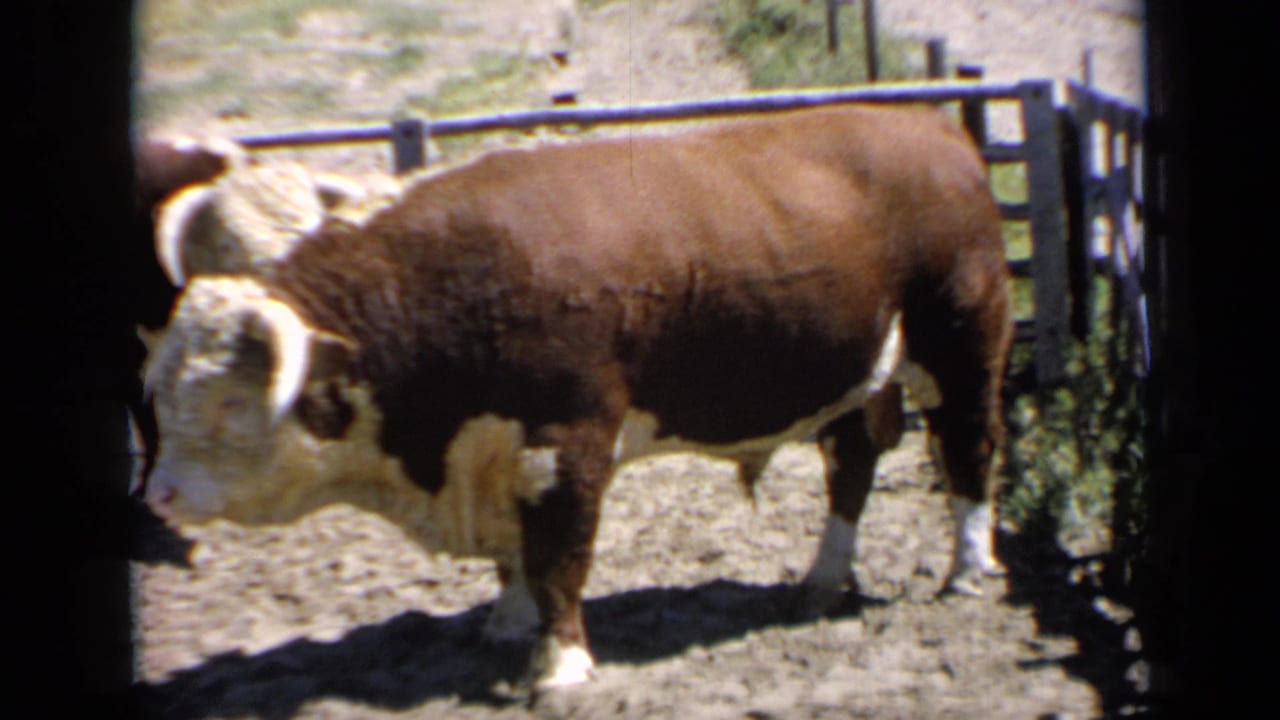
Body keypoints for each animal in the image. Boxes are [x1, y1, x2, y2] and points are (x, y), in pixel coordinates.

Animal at [143, 104, 1014, 693]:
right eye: (164, 395)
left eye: (228, 405)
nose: (160, 494)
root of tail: (932, 128)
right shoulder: (492, 453)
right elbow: (515, 560)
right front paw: (506, 624)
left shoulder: (564, 446)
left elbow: (559, 558)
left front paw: (558, 665)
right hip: (853, 377)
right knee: (852, 467)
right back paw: (822, 580)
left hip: (962, 347)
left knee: (970, 451)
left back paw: (967, 569)